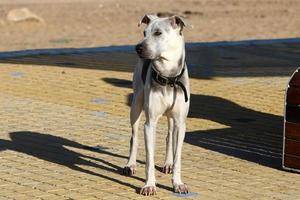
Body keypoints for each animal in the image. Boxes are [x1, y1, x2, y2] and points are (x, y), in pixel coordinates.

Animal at [122, 14, 190, 195]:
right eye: (144, 32)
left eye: (158, 33)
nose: (138, 48)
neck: (168, 78)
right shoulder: (150, 123)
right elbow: (149, 157)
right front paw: (149, 185)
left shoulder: (181, 122)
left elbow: (178, 155)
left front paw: (178, 183)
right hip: (136, 105)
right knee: (134, 136)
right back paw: (130, 165)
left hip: (172, 117)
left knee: (169, 135)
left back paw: (168, 164)